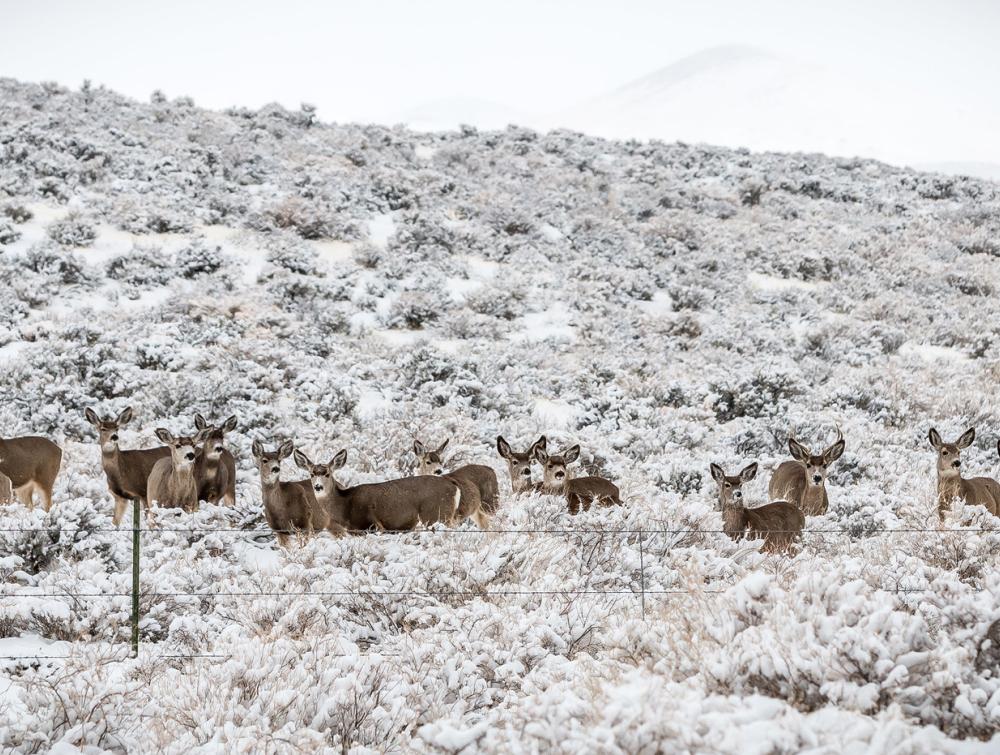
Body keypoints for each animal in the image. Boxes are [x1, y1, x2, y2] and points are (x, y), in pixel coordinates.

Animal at [290, 448, 460, 532]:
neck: (345, 506)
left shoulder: (372, 524)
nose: (318, 487)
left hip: (437, 514)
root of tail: (453, 485)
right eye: (311, 474)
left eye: (327, 474)